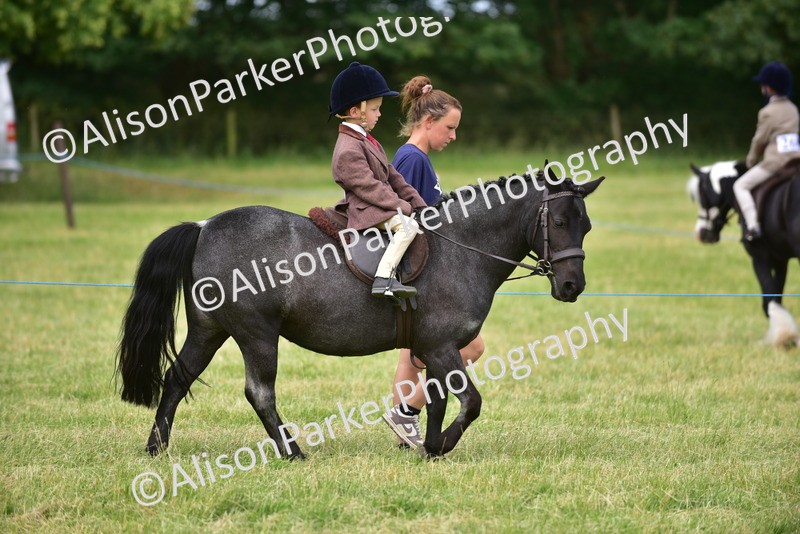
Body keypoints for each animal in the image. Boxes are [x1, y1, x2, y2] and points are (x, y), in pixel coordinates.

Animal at [116, 170, 604, 459]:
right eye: (560, 222)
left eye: (586, 225)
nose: (572, 287)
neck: (461, 247)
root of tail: (204, 227)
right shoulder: (442, 347)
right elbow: (470, 402)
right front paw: (442, 445)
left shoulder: (432, 348)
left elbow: (438, 400)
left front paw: (428, 447)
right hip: (257, 334)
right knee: (259, 393)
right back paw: (292, 451)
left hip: (209, 330)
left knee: (177, 380)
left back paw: (157, 448)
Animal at [688, 160, 800, 317]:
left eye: (702, 197)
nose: (701, 234)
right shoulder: (780, 259)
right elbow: (777, 302)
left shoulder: (760, 257)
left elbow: (770, 304)